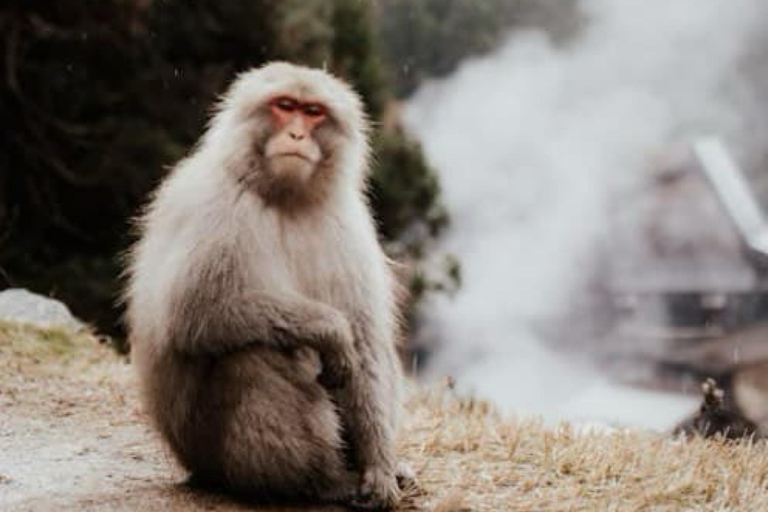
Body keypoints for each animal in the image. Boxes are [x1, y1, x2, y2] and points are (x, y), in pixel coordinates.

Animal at [124, 62, 407, 509]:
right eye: (284, 106)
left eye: (313, 112)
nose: (297, 135)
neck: (286, 197)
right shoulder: (217, 206)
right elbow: (193, 312)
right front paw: (331, 330)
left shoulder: (348, 225)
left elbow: (366, 343)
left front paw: (379, 467)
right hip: (208, 452)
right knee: (255, 353)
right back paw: (320, 480)